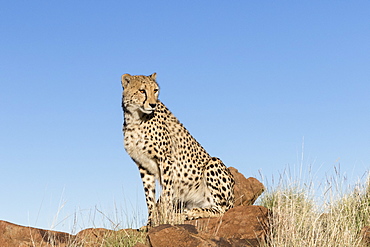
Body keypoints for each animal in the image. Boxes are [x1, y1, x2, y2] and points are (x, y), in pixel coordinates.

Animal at [121, 72, 234, 227]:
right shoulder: (143, 165)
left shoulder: (165, 159)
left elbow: (167, 192)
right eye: (142, 90)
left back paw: (191, 213)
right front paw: (150, 223)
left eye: (155, 90)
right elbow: (149, 197)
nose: (152, 104)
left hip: (213, 163)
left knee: (221, 209)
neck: (135, 118)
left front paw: (166, 218)